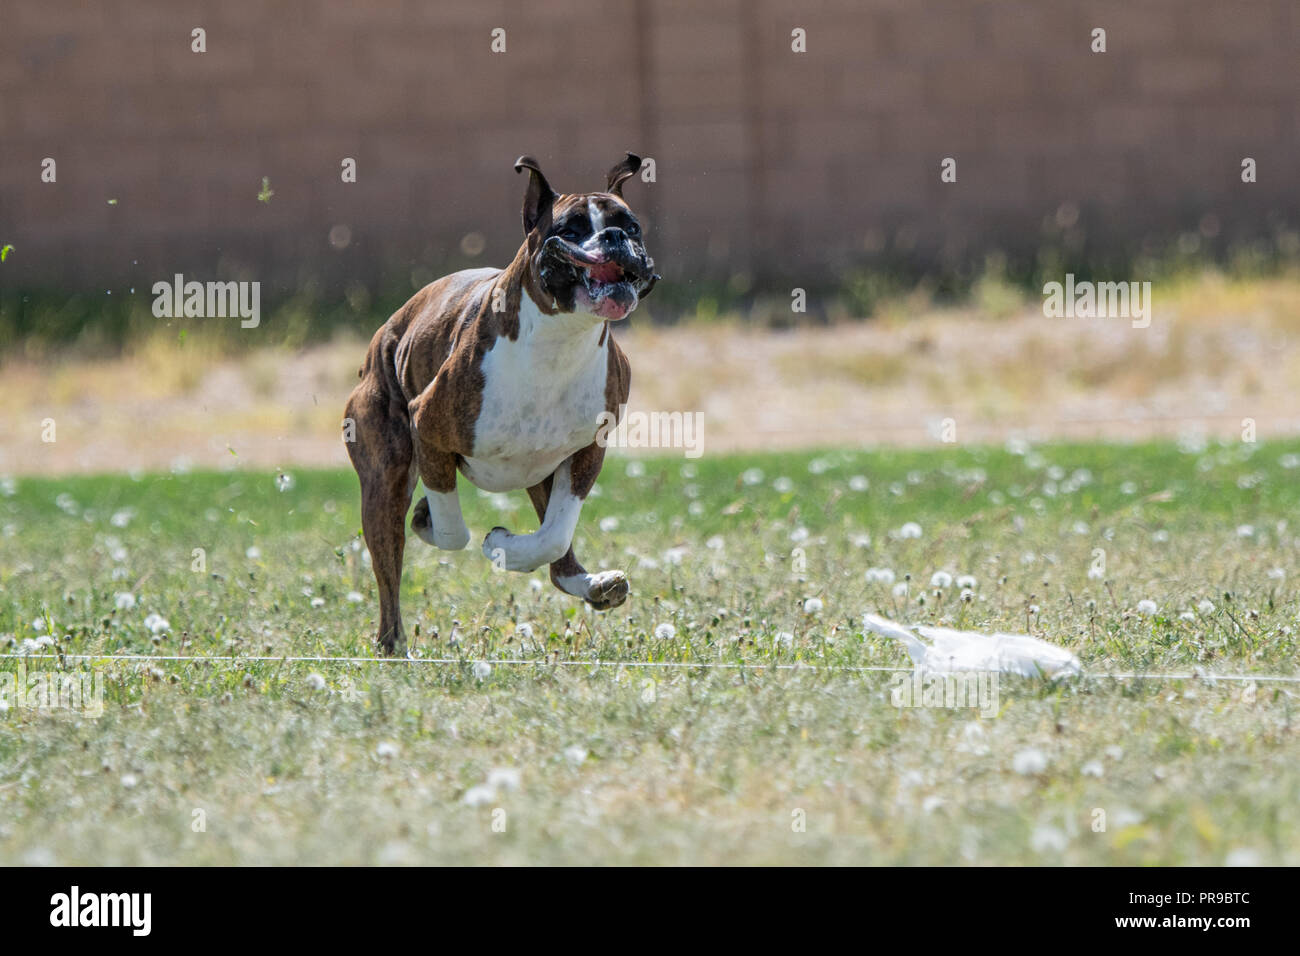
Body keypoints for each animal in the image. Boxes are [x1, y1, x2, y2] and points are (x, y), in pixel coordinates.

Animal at [343, 153, 655, 655]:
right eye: (569, 230)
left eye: (632, 226)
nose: (613, 237)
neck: (558, 338)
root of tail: (383, 336)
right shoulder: (428, 430)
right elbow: (454, 531)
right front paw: (465, 534)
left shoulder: (586, 454)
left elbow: (554, 535)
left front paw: (505, 547)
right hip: (384, 479)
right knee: (389, 576)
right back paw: (394, 647)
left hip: (539, 472)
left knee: (558, 559)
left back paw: (591, 585)